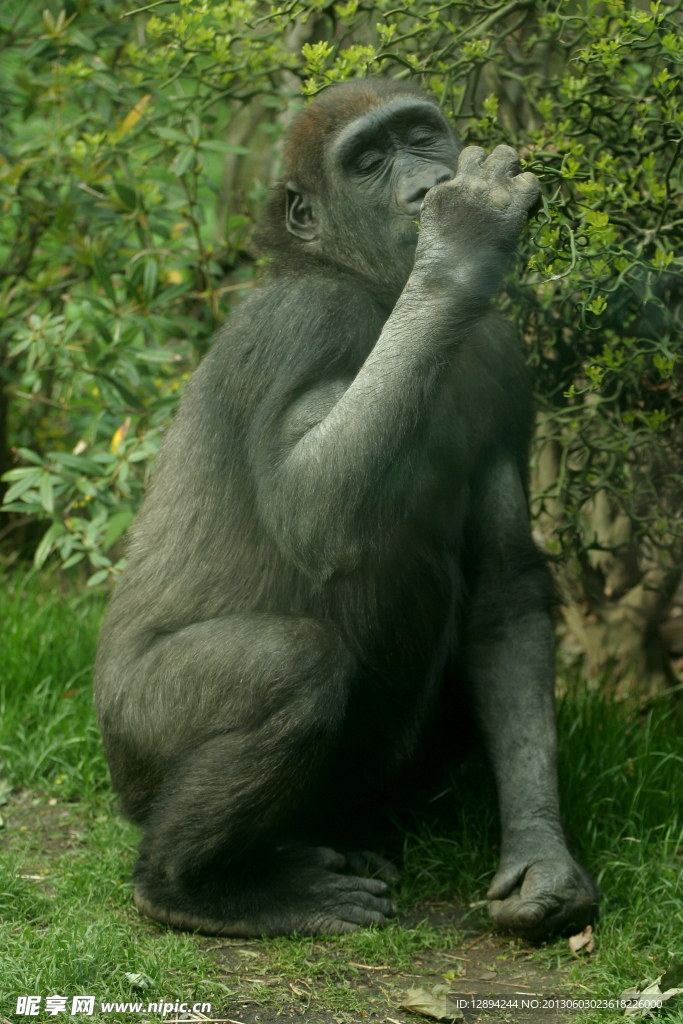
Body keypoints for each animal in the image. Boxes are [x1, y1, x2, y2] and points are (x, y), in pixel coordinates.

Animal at [94, 75, 598, 937]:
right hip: (130, 742)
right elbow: (315, 517)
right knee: (293, 660)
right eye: (366, 162)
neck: (363, 279)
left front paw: (540, 853)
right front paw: (459, 242)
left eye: (419, 136)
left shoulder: (505, 359)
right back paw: (191, 886)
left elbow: (503, 590)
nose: (424, 186)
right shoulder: (304, 321)